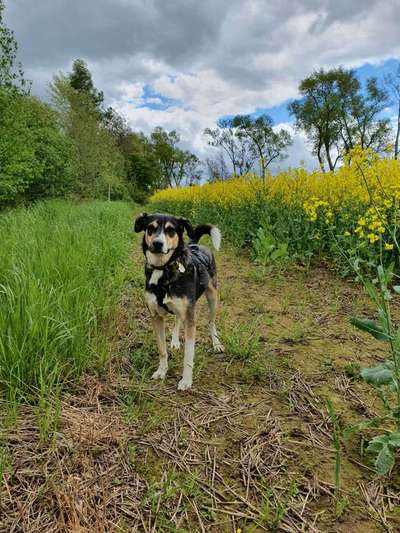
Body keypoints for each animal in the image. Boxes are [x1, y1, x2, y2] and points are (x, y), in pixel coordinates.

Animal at [135, 212, 225, 390]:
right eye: (151, 228)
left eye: (171, 230)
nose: (157, 243)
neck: (163, 270)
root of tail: (195, 245)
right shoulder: (156, 316)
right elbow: (162, 349)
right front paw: (162, 371)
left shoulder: (190, 318)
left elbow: (188, 356)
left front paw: (186, 380)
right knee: (178, 318)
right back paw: (176, 341)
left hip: (212, 298)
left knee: (211, 322)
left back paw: (216, 343)